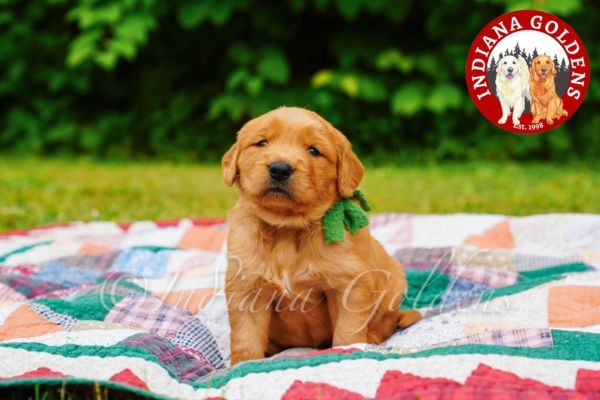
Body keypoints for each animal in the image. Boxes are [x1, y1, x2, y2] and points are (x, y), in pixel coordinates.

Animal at [223, 107, 420, 366]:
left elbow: (347, 331)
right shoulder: (246, 287)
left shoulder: (350, 283)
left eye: (314, 150)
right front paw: (242, 365)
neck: (287, 229)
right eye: (261, 143)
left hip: (394, 283)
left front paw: (350, 351)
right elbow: (246, 338)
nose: (280, 168)